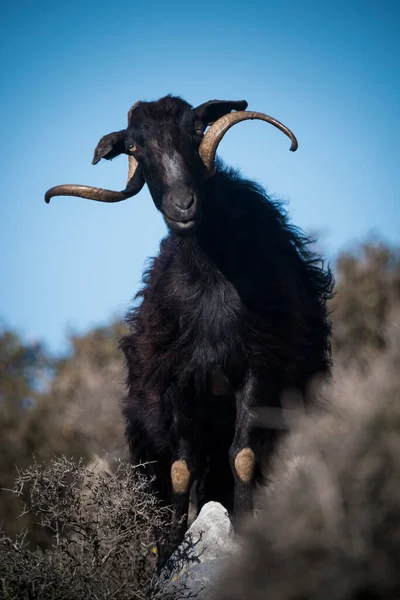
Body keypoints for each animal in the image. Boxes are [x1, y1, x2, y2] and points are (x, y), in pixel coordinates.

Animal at [45, 96, 332, 560]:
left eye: (195, 130)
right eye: (135, 148)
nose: (183, 205)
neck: (213, 282)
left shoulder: (258, 368)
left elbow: (243, 457)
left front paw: (243, 535)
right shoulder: (177, 379)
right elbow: (181, 468)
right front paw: (170, 550)